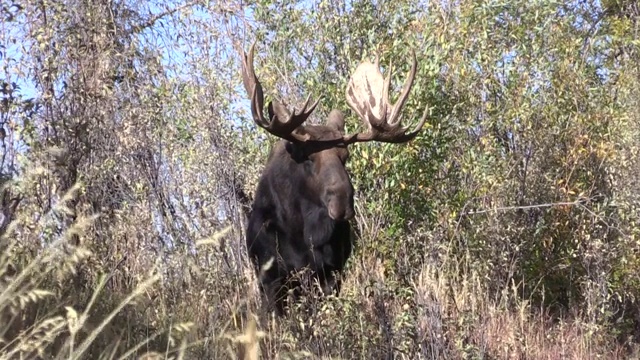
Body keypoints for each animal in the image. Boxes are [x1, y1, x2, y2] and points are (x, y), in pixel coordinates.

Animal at [241, 40, 430, 316]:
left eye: (346, 156)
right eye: (307, 157)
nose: (342, 202)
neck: (302, 230)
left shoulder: (332, 273)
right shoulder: (272, 278)